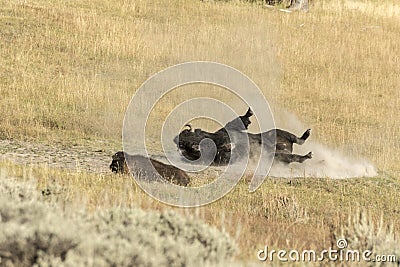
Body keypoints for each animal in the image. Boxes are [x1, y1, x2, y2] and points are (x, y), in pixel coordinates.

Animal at [173, 108, 312, 165]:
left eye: (187, 134)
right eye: (184, 144)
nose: (176, 139)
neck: (214, 139)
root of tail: (287, 148)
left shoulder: (226, 129)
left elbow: (237, 121)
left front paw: (249, 113)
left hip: (277, 132)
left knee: (298, 140)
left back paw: (307, 133)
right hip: (276, 156)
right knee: (294, 157)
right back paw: (307, 155)